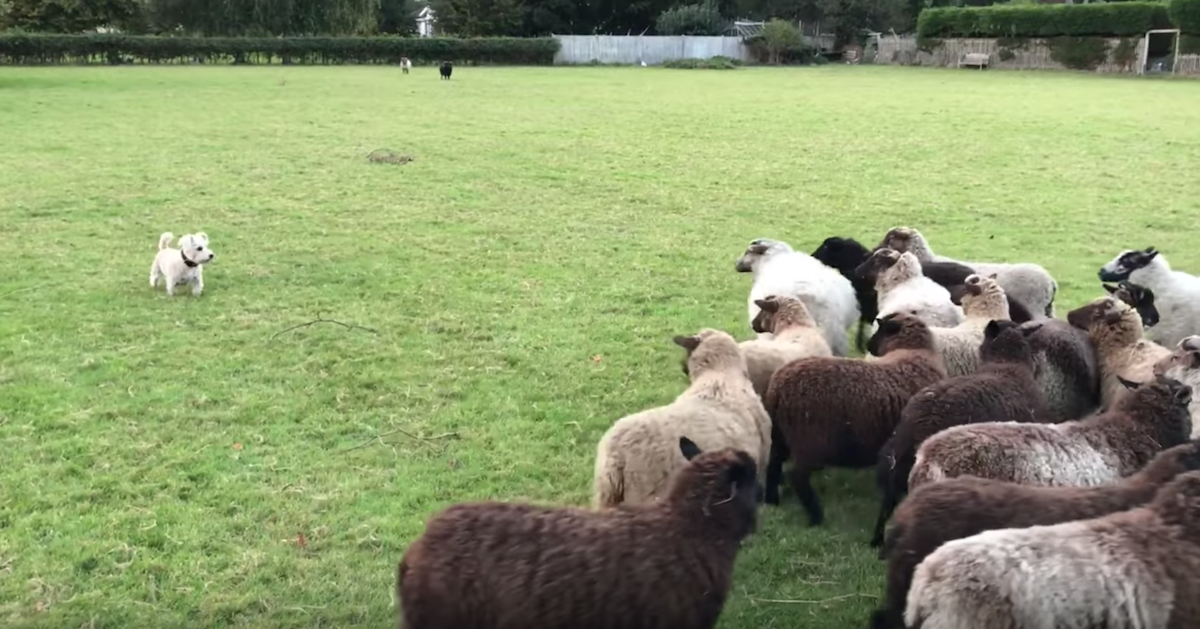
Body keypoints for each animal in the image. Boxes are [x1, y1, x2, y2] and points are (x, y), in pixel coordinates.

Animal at [762, 311, 946, 525]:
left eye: (881, 329)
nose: (868, 345)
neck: (915, 351)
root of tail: (777, 387)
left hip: (780, 434)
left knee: (774, 463)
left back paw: (772, 500)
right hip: (809, 441)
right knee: (797, 477)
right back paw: (816, 516)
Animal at [878, 226, 1059, 317]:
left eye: (890, 239)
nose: (875, 250)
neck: (927, 259)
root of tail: (1051, 282)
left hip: (1034, 308)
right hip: (1048, 310)